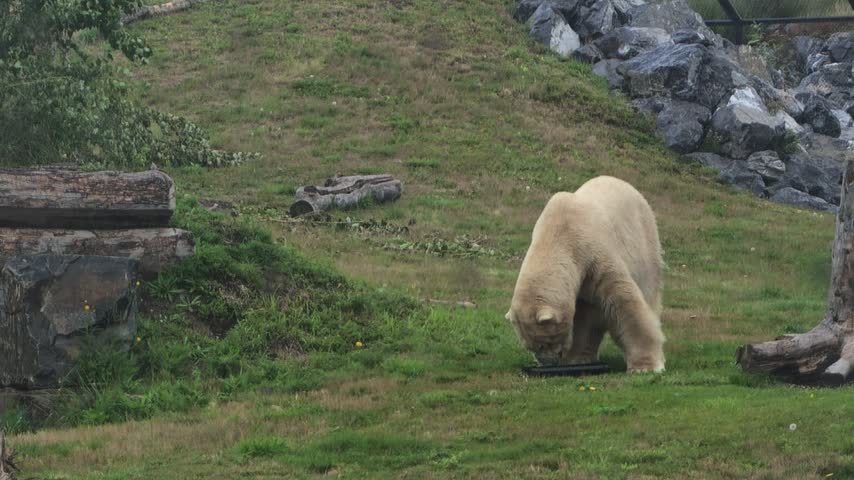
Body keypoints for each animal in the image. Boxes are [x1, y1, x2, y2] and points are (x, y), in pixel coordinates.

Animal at [506, 176, 665, 373]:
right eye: (530, 346)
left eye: (545, 342)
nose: (548, 363)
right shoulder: (581, 276)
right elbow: (583, 316)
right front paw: (577, 358)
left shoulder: (595, 254)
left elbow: (624, 302)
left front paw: (646, 366)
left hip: (644, 243)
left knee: (648, 292)